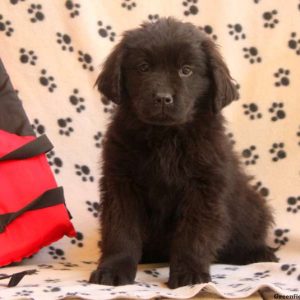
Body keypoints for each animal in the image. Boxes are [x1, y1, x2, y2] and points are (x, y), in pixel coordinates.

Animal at [89, 17, 278, 288]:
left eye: (186, 70)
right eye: (143, 67)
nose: (162, 98)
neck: (165, 138)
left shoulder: (204, 187)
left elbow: (193, 234)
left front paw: (189, 274)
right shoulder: (121, 182)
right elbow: (120, 230)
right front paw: (113, 270)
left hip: (251, 205)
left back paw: (258, 252)